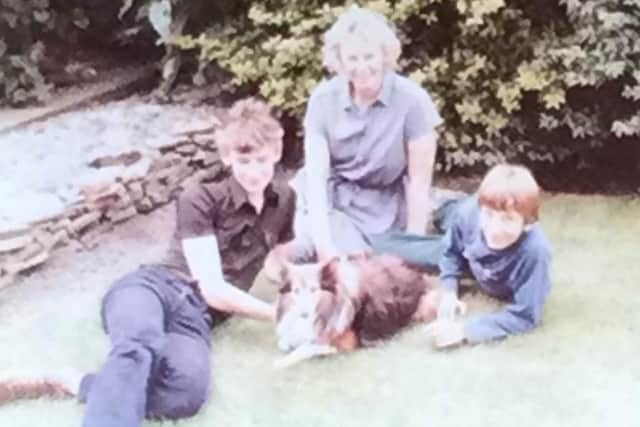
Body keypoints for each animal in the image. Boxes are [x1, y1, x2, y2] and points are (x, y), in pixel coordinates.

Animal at [270, 254, 444, 368]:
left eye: (314, 290)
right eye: (296, 291)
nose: (304, 313)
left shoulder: (345, 342)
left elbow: (306, 348)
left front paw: (281, 362)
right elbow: (283, 343)